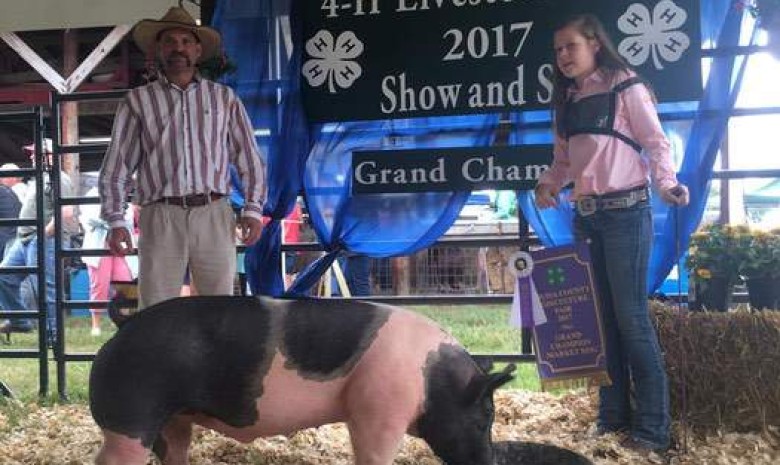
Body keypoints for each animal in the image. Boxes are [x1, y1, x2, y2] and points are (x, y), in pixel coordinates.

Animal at [90, 294, 512, 464]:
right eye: (483, 418)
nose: (489, 461)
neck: (432, 380)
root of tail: (125, 324)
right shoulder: (378, 410)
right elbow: (373, 454)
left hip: (174, 420)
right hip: (130, 415)